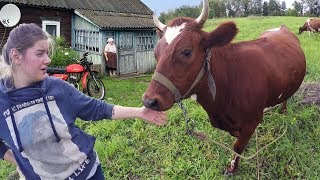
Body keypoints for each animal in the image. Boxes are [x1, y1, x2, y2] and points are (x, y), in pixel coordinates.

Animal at [142, 0, 304, 175]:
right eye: (156, 54)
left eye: (186, 51)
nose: (149, 101)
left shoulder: (252, 121)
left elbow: (237, 146)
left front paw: (232, 168)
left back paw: (283, 111)